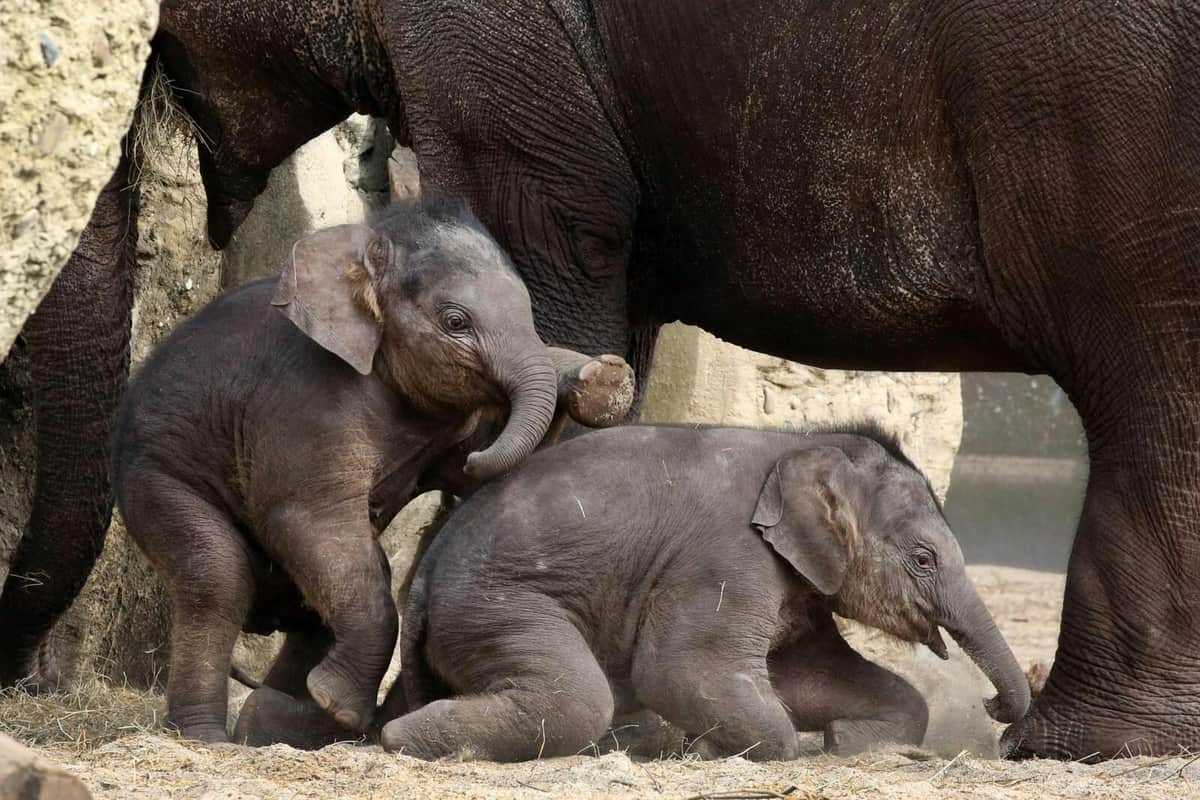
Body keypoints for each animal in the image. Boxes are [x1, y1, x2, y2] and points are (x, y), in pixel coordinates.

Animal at [111, 191, 633, 742]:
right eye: (456, 322)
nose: (611, 367)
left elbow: (463, 473)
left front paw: (595, 383)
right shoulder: (304, 400)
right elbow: (306, 518)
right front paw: (338, 706)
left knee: (308, 610)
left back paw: (275, 719)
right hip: (155, 475)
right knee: (216, 578)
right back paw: (209, 738)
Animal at [370, 424, 1029, 761]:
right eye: (923, 559)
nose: (994, 707)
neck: (801, 441)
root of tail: (422, 577)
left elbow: (807, 675)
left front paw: (846, 743)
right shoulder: (727, 557)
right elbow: (682, 673)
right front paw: (722, 751)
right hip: (495, 607)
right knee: (577, 698)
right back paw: (403, 739)